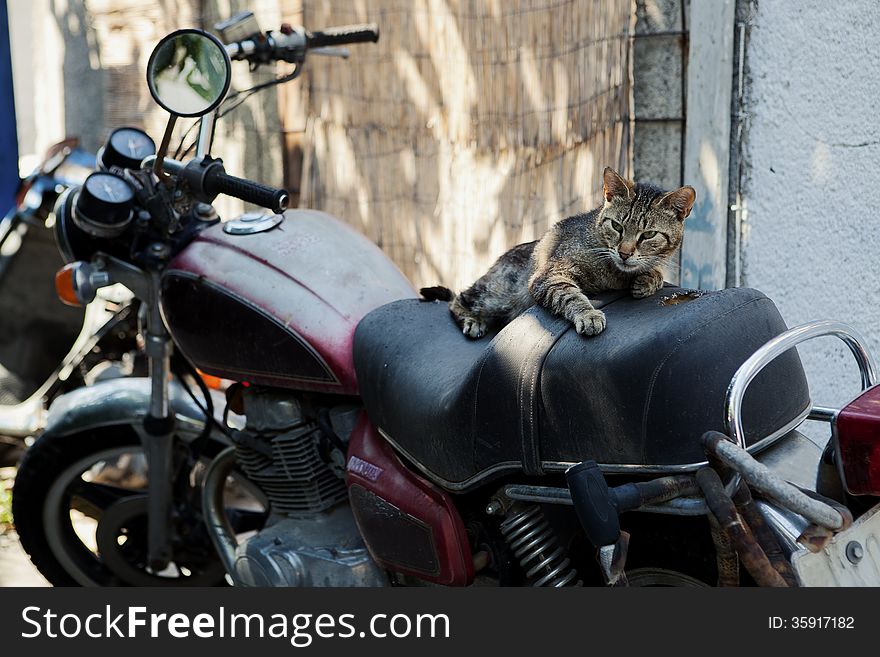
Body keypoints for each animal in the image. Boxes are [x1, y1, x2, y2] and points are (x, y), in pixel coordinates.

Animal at [420, 167, 696, 336]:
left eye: (648, 235)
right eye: (617, 226)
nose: (625, 252)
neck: (614, 273)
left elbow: (655, 271)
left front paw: (648, 280)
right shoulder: (550, 274)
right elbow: (571, 295)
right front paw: (589, 315)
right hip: (496, 295)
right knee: (458, 298)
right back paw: (472, 320)